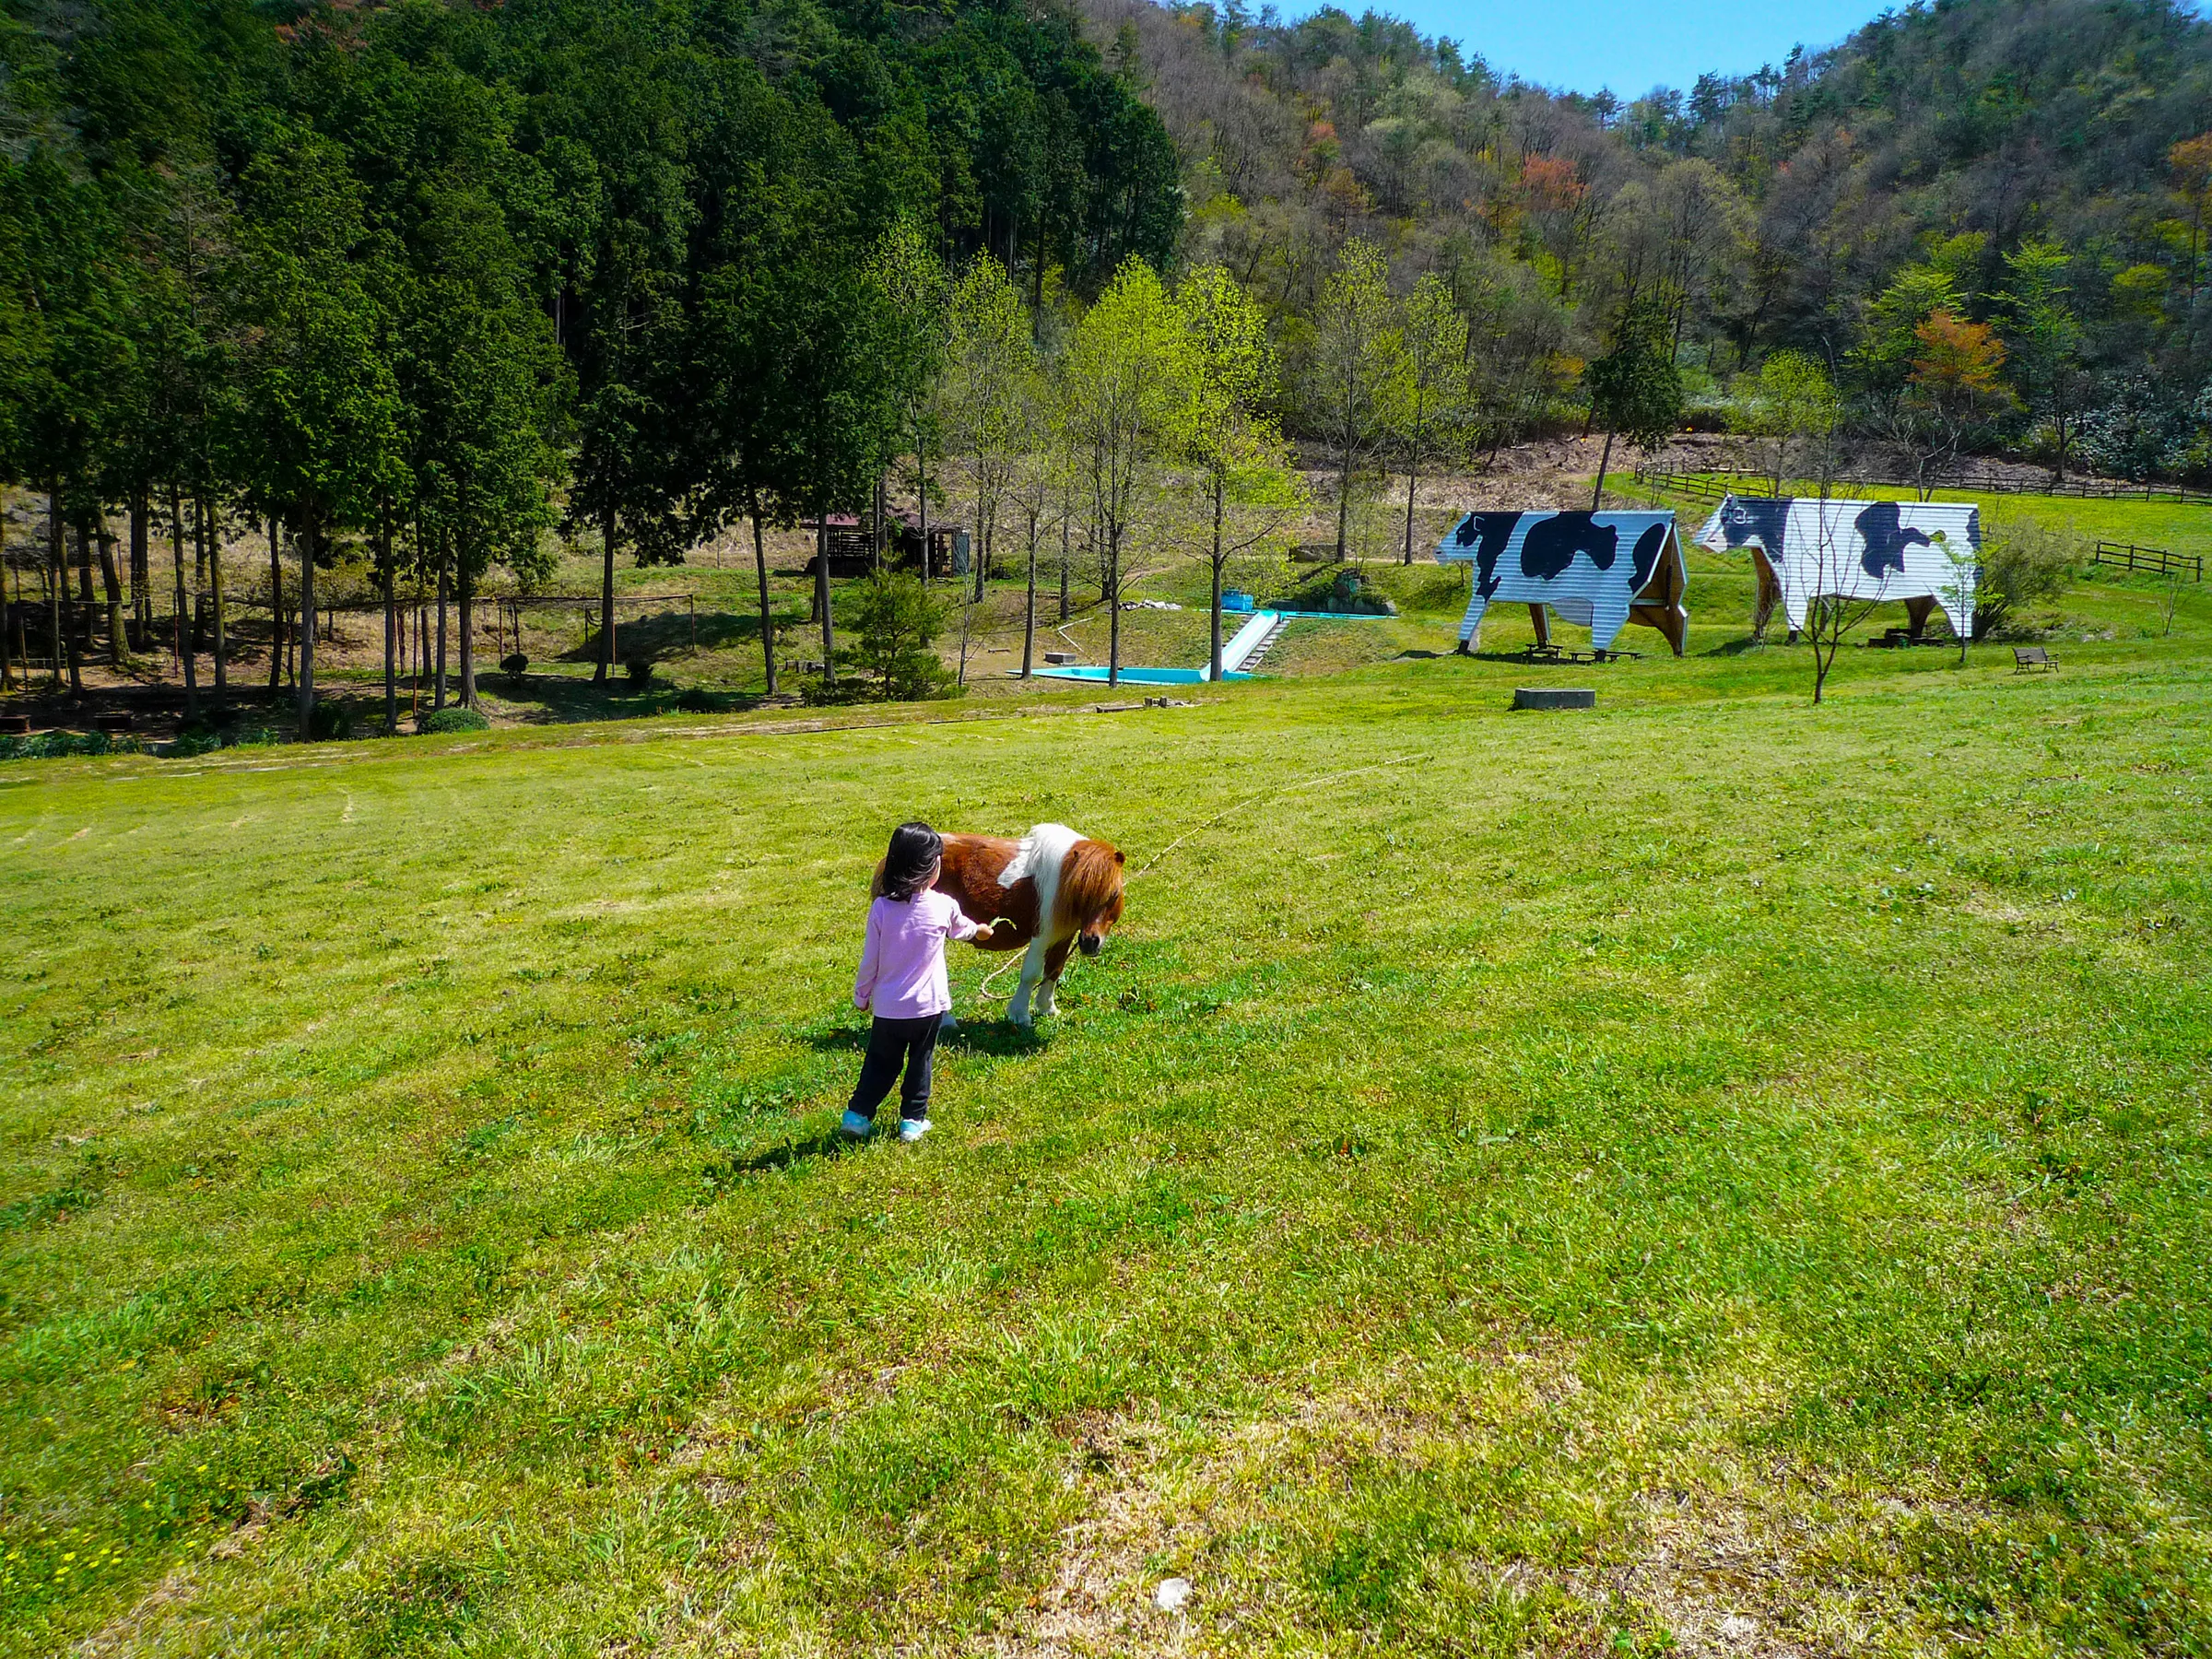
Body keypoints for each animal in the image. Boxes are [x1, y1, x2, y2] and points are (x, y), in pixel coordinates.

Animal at [871, 822, 1124, 1026]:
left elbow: (1054, 970)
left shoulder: (1063, 935)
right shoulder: (1041, 935)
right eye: (1082, 894)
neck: (1063, 879)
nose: (1091, 943)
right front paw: (1020, 1015)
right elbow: (1031, 974)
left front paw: (1047, 1009)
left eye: (1113, 895)